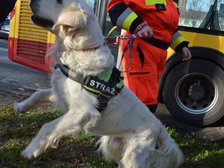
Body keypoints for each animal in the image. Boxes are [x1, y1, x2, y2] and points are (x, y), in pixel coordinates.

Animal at [14, 0, 185, 167]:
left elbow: (48, 127)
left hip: (133, 153)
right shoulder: (60, 91)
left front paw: (31, 150)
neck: (79, 50)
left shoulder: (83, 112)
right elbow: (38, 93)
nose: (32, 1)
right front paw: (20, 106)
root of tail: (159, 126)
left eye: (59, 1)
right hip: (112, 143)